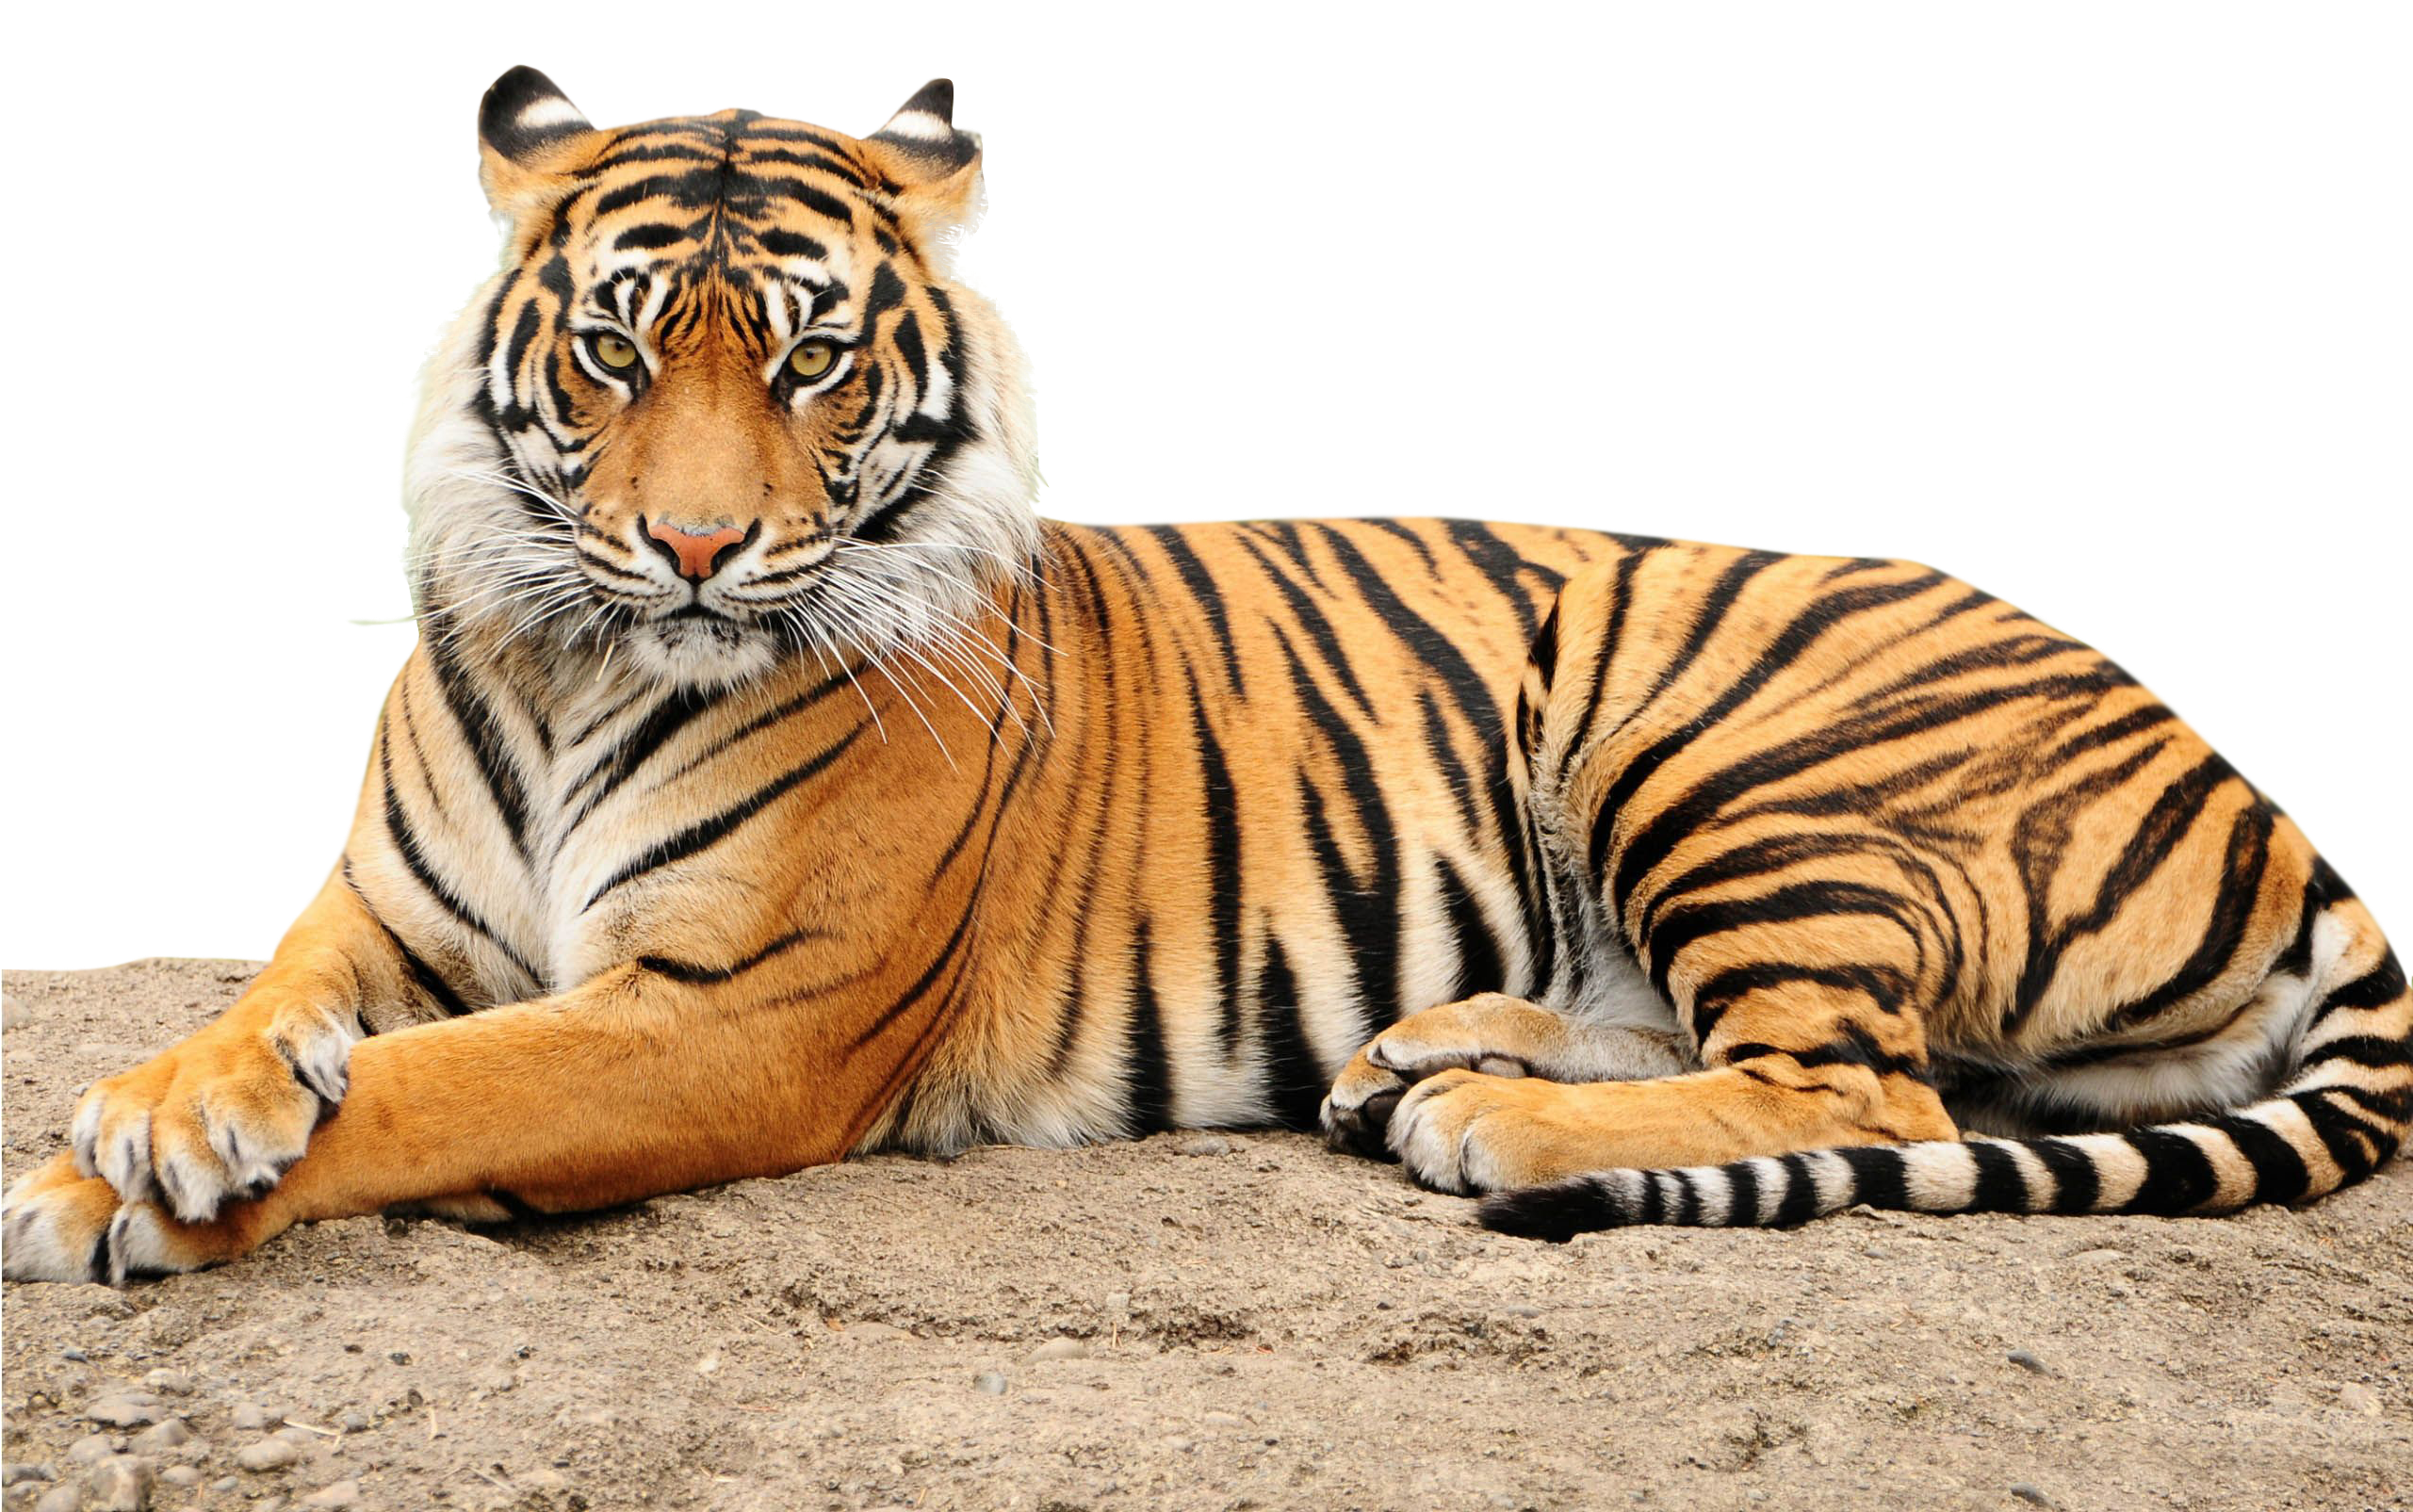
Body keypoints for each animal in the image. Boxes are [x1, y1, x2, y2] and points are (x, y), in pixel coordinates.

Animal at [3, 66, 2406, 1284]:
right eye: (613, 349)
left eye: (804, 360)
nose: (691, 547)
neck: (586, 662)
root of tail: (2251, 784)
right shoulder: (380, 916)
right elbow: (278, 1010)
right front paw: (159, 1111)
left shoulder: (731, 1016)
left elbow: (440, 1090)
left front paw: (102, 1186)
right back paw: (1419, 1056)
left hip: (1722, 738)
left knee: (1869, 1088)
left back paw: (1484, 1116)